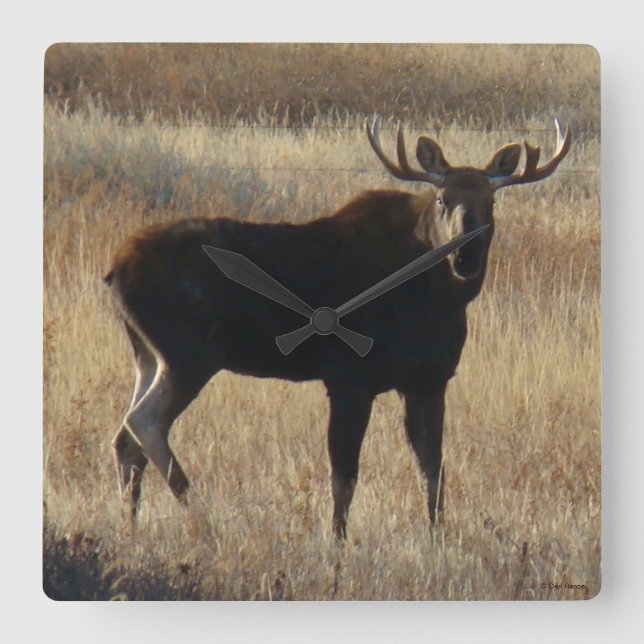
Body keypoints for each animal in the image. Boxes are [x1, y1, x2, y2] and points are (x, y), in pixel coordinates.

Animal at [106, 116, 570, 539]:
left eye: (491, 202)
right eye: (442, 198)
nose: (466, 256)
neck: (436, 299)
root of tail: (114, 270)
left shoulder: (430, 380)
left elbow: (434, 470)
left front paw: (439, 539)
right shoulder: (349, 378)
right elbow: (344, 477)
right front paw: (337, 545)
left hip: (147, 354)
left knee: (126, 438)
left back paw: (131, 527)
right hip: (188, 354)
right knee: (144, 421)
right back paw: (203, 520)